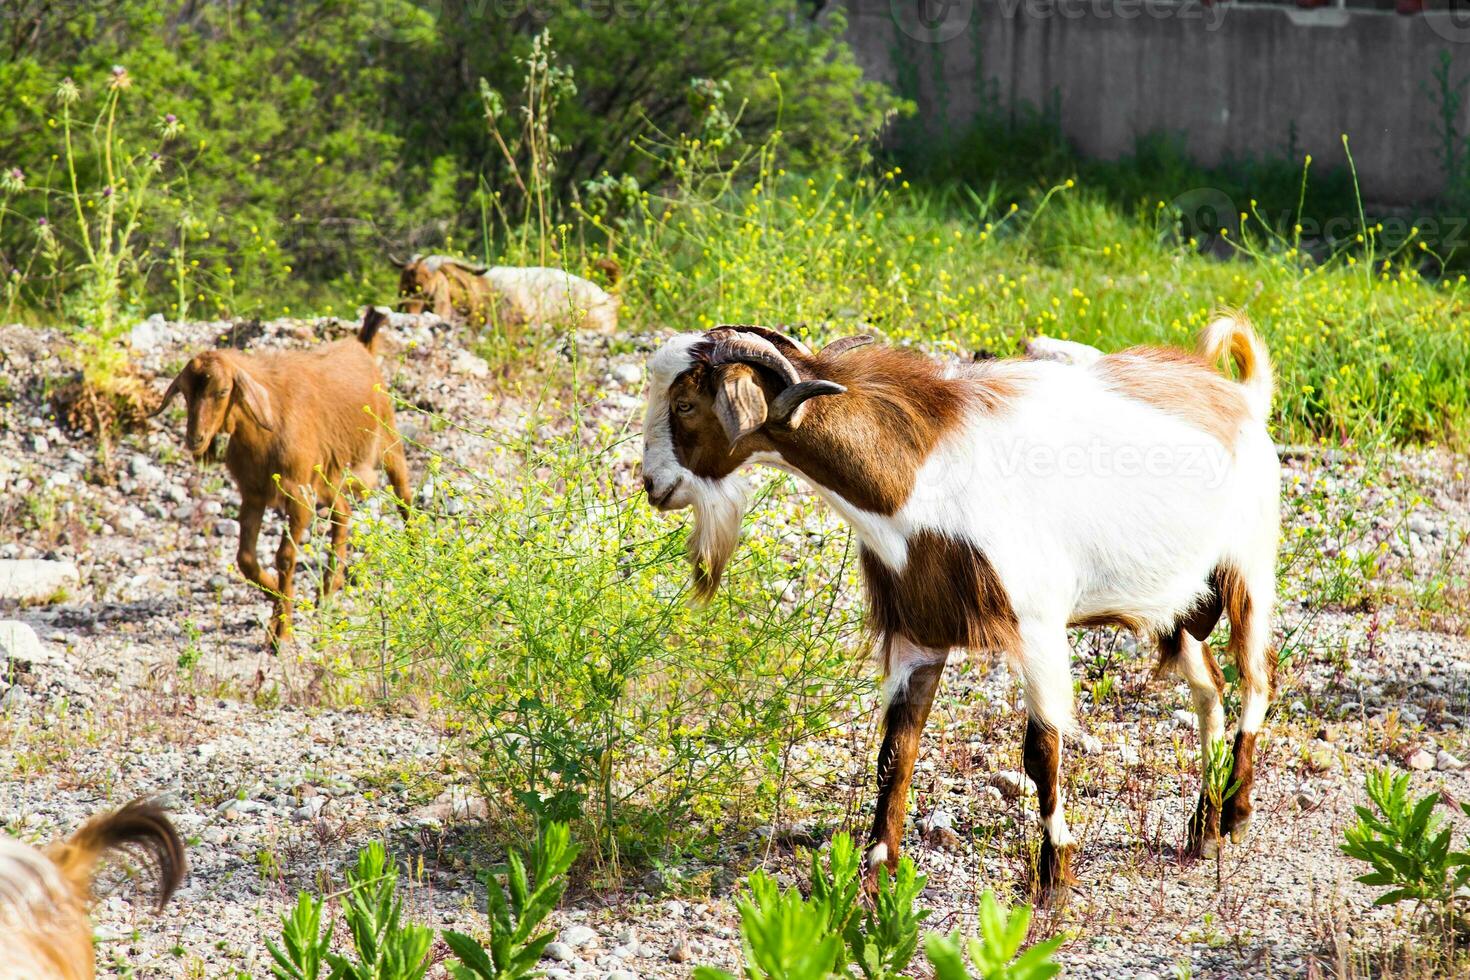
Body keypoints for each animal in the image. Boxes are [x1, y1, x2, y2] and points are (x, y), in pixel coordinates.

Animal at [153, 307, 414, 643]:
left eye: (222, 391)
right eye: (184, 393)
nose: (195, 440)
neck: (269, 425)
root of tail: (363, 348)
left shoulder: (298, 494)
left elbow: (285, 556)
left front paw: (282, 630)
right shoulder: (253, 494)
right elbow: (246, 559)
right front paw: (278, 601)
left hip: (387, 443)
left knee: (404, 498)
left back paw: (415, 556)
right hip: (326, 476)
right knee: (342, 512)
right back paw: (327, 591)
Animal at [637, 320, 1281, 899]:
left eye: (686, 403)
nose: (652, 485)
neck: (917, 478)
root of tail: (1242, 398)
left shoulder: (1038, 628)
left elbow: (1041, 754)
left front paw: (1054, 877)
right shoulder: (918, 630)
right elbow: (895, 752)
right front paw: (877, 870)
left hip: (1249, 566)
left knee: (1256, 680)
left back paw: (1236, 816)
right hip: (1182, 604)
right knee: (1209, 689)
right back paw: (1201, 829)